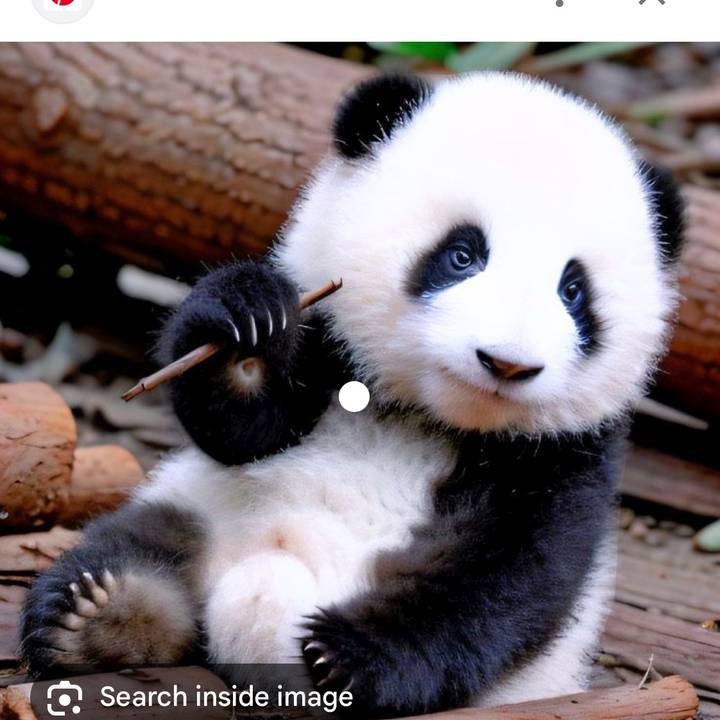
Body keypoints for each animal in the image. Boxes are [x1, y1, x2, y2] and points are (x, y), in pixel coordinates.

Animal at [21, 72, 684, 716]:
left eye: (573, 291)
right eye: (462, 254)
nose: (507, 362)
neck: (423, 415)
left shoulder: (566, 453)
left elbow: (512, 572)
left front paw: (349, 656)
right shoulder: (328, 344)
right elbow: (246, 432)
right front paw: (248, 324)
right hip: (200, 507)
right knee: (131, 542)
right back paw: (103, 613)